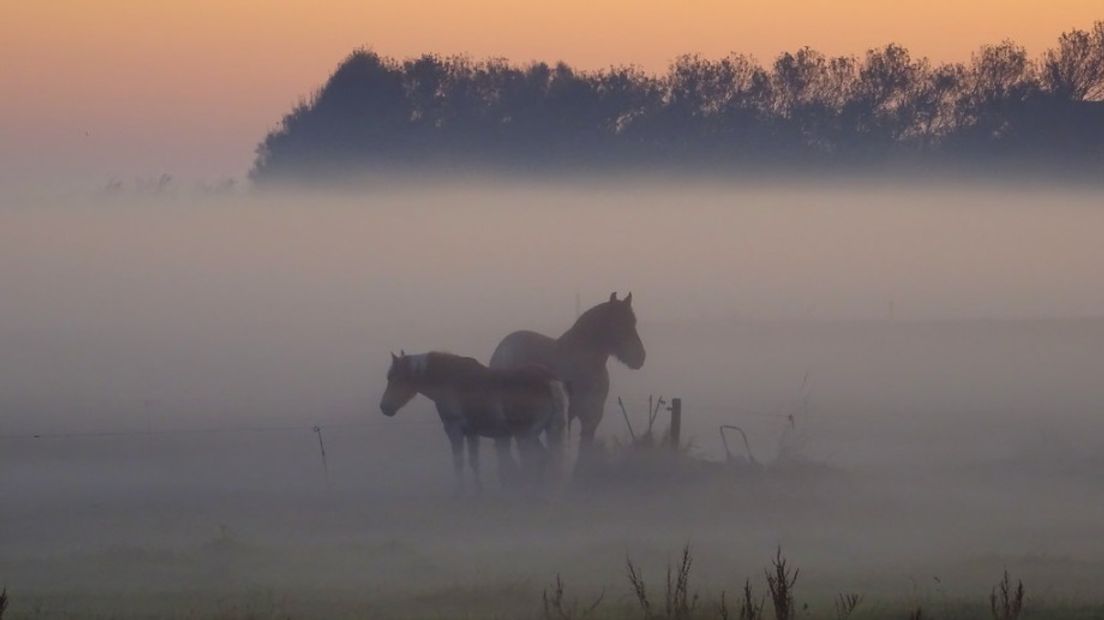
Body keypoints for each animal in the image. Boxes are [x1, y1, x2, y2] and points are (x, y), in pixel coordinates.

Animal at [379, 350, 569, 489]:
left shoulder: (454, 430)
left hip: (525, 436)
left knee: (534, 459)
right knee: (545, 458)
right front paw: (478, 491)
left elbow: (459, 462)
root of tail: (548, 380)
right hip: (544, 431)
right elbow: (474, 462)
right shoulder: (472, 432)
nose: (384, 407)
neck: (449, 380)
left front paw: (460, 492)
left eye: (394, 378)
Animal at [487, 291, 644, 452]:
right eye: (618, 324)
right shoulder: (582, 417)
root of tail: (503, 352)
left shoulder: (589, 419)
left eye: (634, 322)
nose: (639, 357)